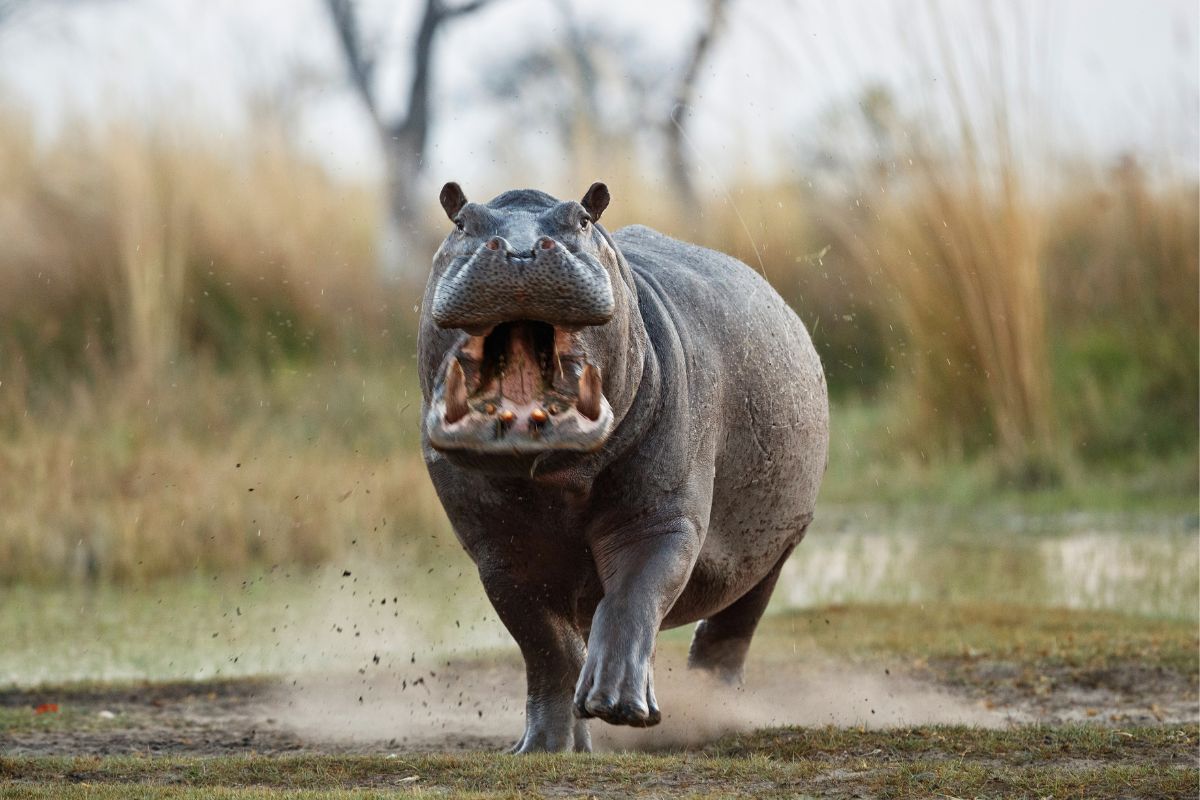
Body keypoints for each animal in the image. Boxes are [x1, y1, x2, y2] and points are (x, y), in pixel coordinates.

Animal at [420, 184, 825, 753]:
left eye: (583, 218)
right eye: (461, 220)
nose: (520, 250)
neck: (554, 480)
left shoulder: (659, 520)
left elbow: (632, 596)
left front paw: (617, 704)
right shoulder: (499, 554)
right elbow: (546, 647)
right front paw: (545, 746)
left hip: (777, 548)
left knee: (732, 627)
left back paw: (714, 710)